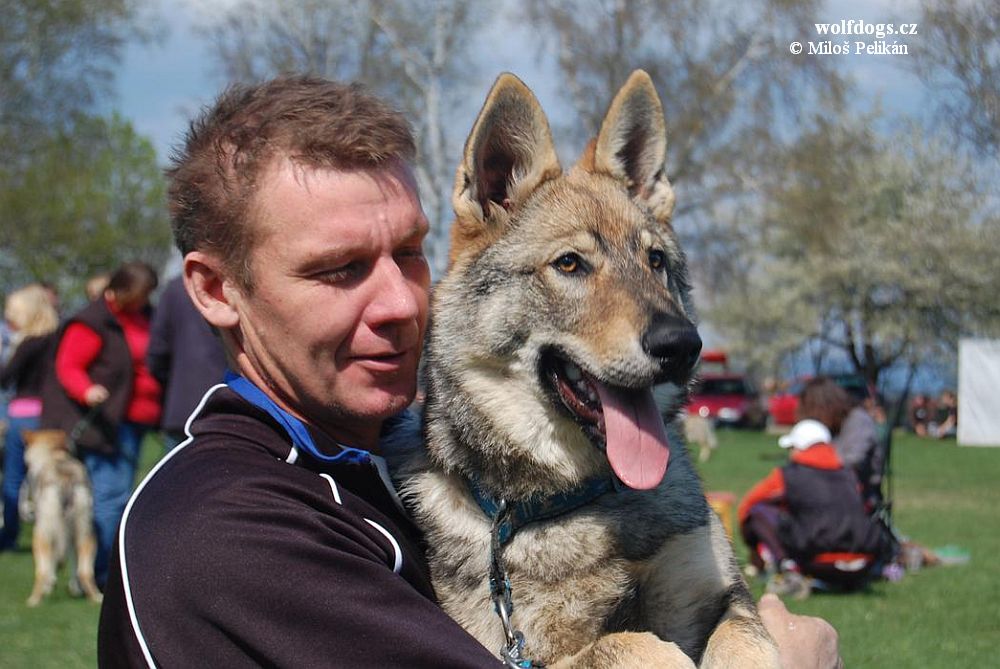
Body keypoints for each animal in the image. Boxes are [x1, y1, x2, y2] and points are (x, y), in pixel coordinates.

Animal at [22, 428, 101, 604]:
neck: (53, 455)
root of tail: (65, 478)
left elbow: (51, 565)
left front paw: (50, 586)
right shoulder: (70, 534)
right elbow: (70, 562)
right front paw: (73, 588)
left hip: (40, 534)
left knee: (41, 572)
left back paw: (33, 601)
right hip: (86, 533)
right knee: (84, 571)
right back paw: (96, 597)